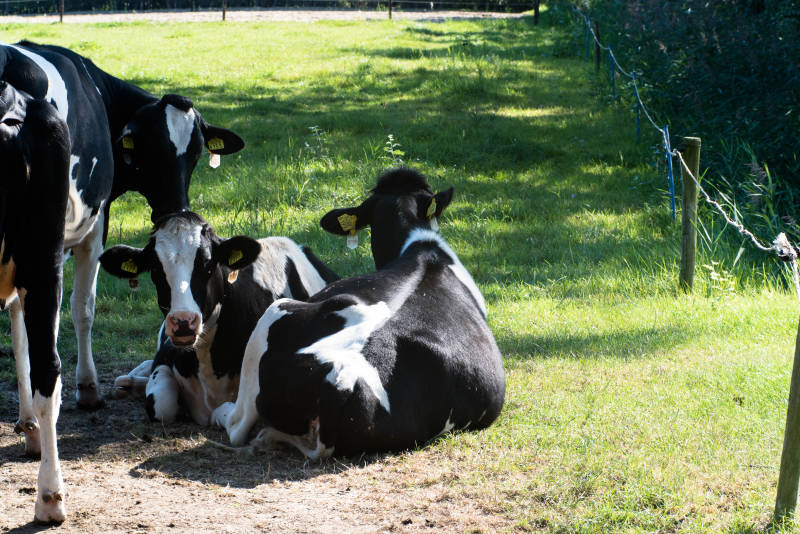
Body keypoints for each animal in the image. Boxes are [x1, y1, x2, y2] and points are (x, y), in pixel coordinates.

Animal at [0, 41, 243, 522]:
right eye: (146, 150)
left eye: (194, 153)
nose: (176, 212)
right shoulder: (90, 230)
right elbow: (82, 310)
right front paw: (87, 390)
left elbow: (20, 332)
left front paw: (28, 423)